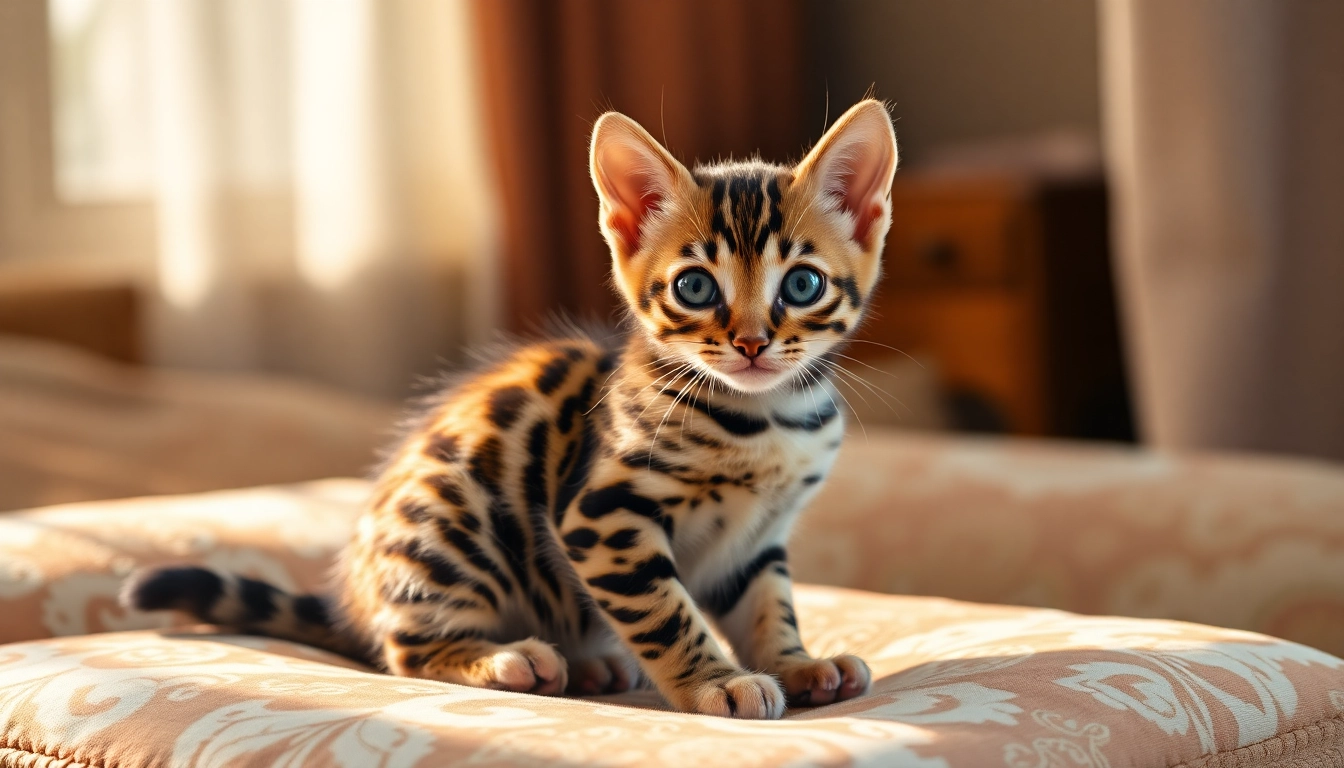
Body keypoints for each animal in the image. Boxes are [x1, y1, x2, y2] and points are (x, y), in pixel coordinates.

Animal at [126, 98, 897, 720]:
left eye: (801, 284)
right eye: (696, 288)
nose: (751, 343)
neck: (766, 418)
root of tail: (357, 601)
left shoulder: (755, 539)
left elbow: (770, 606)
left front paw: (798, 664)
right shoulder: (602, 517)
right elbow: (666, 612)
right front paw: (717, 682)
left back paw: (590, 662)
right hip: (455, 528)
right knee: (404, 651)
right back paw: (506, 658)